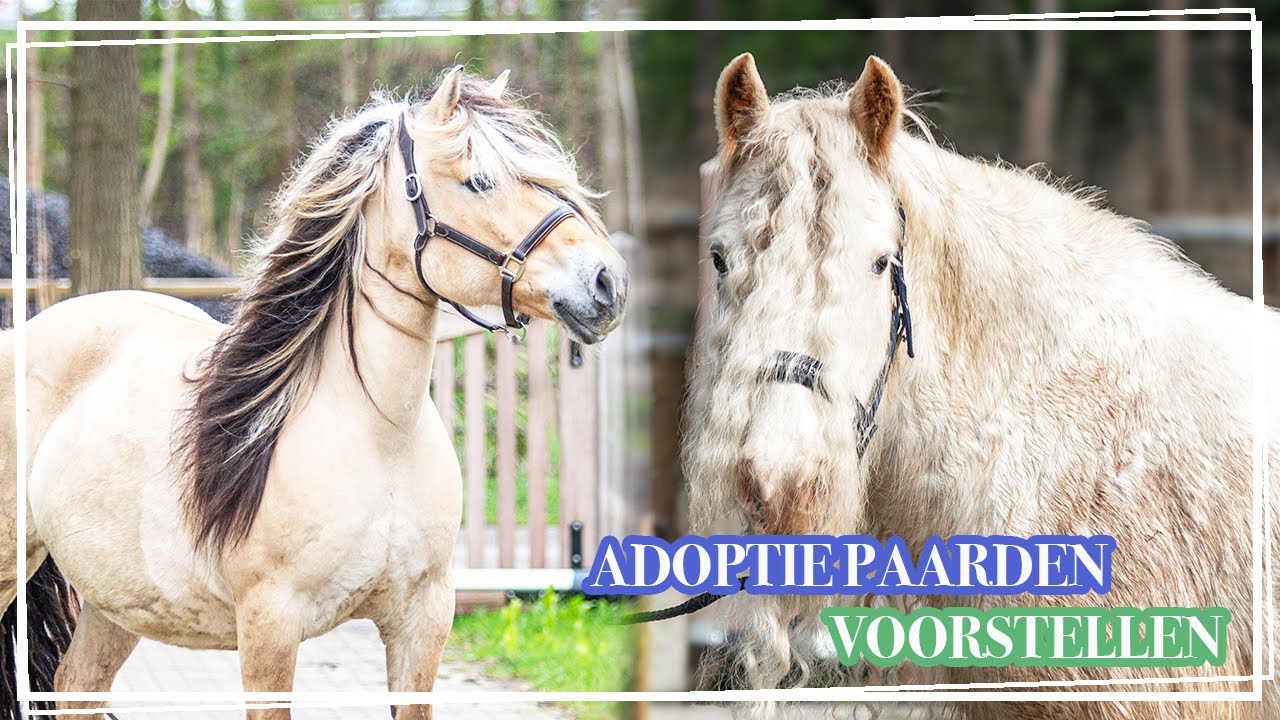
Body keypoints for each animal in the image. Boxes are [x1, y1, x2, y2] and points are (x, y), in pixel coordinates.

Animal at [0, 65, 627, 719]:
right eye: (478, 180)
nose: (606, 282)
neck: (380, 435)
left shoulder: (423, 620)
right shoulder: (270, 628)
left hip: (115, 602)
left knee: (76, 687)